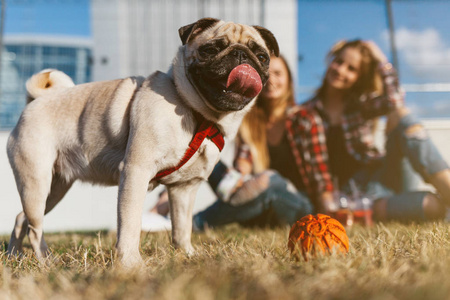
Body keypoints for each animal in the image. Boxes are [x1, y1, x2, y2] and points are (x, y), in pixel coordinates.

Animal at [7, 17, 278, 268]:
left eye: (262, 57)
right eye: (210, 49)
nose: (241, 55)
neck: (198, 116)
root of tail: (34, 102)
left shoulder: (184, 188)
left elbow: (182, 228)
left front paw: (187, 255)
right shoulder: (136, 172)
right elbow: (130, 223)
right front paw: (130, 263)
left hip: (55, 188)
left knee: (22, 219)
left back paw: (14, 257)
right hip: (36, 182)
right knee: (35, 227)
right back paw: (46, 261)